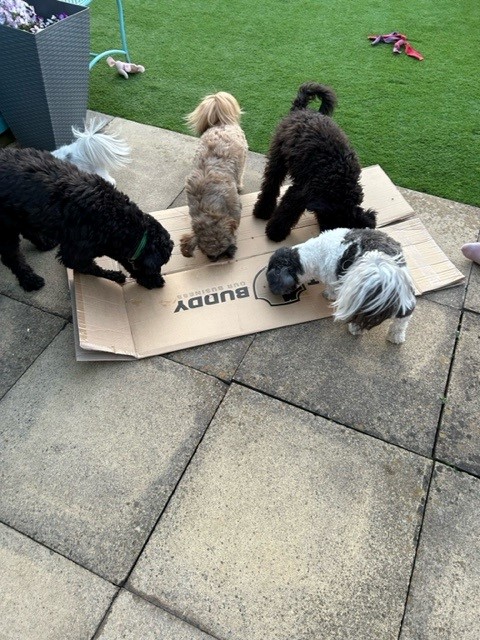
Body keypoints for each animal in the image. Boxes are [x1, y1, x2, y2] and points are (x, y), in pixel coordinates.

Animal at [0, 148, 172, 290]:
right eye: (156, 267)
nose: (159, 281)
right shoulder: (74, 254)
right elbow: (90, 267)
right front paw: (114, 275)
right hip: (6, 229)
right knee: (12, 257)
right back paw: (29, 280)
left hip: (21, 215)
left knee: (28, 230)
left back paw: (44, 244)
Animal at [253, 80, 376, 240]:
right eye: (331, 222)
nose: (325, 233)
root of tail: (301, 109)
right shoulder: (300, 192)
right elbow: (287, 211)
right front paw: (275, 231)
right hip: (278, 158)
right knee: (271, 184)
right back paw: (262, 210)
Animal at [266, 228, 416, 342]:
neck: (313, 254)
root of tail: (384, 269)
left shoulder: (333, 279)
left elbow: (331, 289)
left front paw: (328, 295)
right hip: (402, 296)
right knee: (402, 319)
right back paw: (396, 336)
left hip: (358, 293)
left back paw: (355, 328)